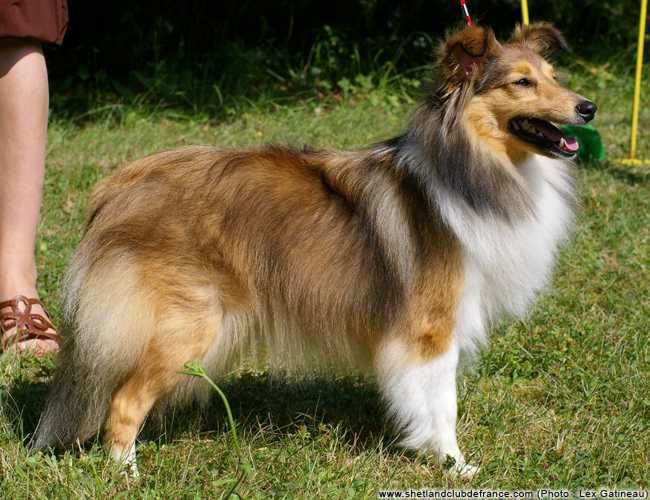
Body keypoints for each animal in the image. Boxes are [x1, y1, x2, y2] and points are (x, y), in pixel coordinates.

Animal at [33, 23, 596, 478]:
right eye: (521, 82)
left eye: (553, 75)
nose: (588, 107)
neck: (471, 169)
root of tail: (118, 188)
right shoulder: (431, 328)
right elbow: (442, 404)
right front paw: (454, 465)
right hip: (186, 326)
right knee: (124, 402)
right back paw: (126, 474)